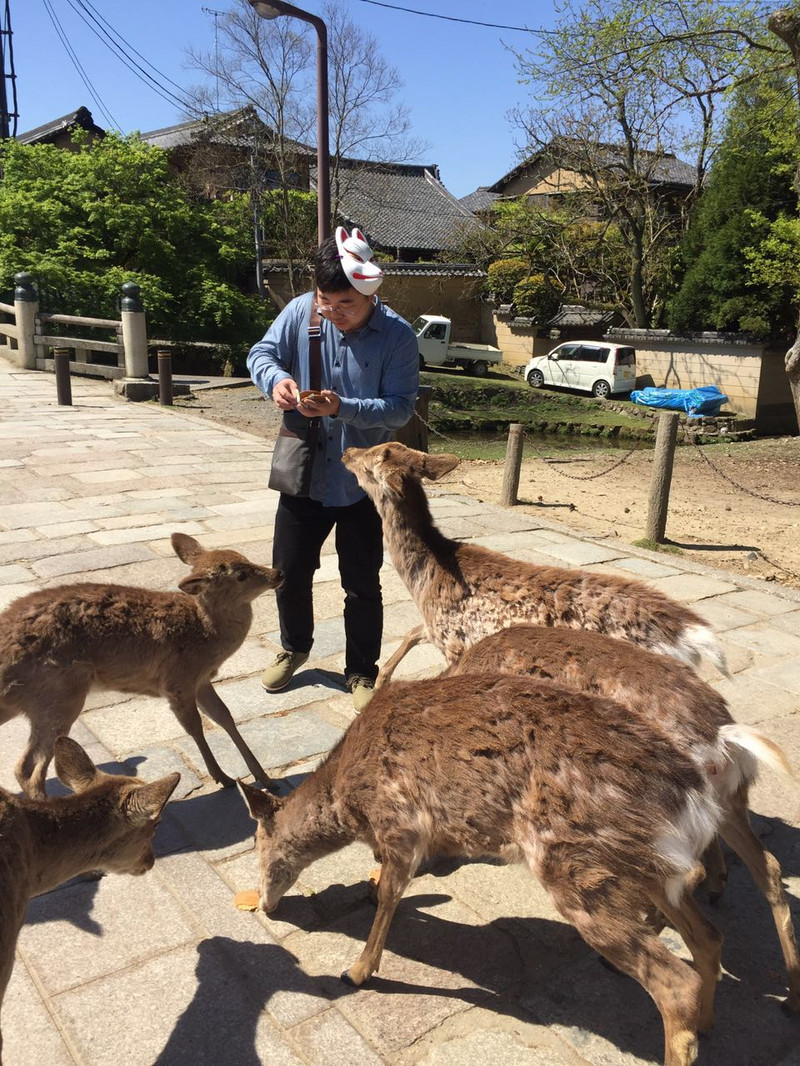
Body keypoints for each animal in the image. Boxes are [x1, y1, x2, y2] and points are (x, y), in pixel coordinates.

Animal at [0, 533, 285, 801]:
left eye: (244, 557)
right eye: (240, 575)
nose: (278, 573)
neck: (206, 634)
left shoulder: (201, 679)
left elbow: (225, 716)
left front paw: (266, 779)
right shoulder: (177, 679)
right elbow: (195, 726)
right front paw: (224, 778)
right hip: (60, 694)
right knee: (28, 769)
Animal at [240, 673, 733, 1066]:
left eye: (257, 844)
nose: (262, 905)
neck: (349, 799)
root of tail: (694, 798)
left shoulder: (401, 824)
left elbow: (389, 897)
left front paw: (358, 971)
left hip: (576, 867)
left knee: (675, 982)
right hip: (645, 868)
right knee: (708, 937)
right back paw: (709, 1023)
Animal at [341, 439, 729, 682]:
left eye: (372, 458)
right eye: (385, 446)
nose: (346, 451)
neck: (426, 580)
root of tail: (690, 638)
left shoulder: (454, 641)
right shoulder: (437, 627)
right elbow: (409, 633)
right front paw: (379, 680)